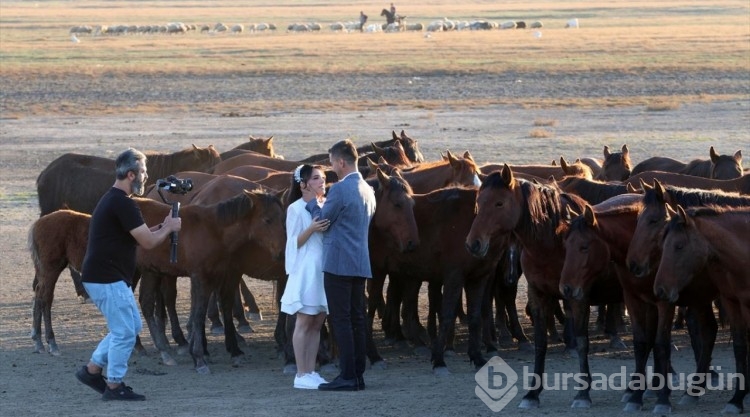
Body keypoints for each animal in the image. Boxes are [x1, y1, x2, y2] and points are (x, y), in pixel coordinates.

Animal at [652, 203, 750, 412]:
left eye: (679, 246)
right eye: (662, 246)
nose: (660, 290)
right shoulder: (733, 302)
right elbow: (740, 346)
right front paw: (737, 399)